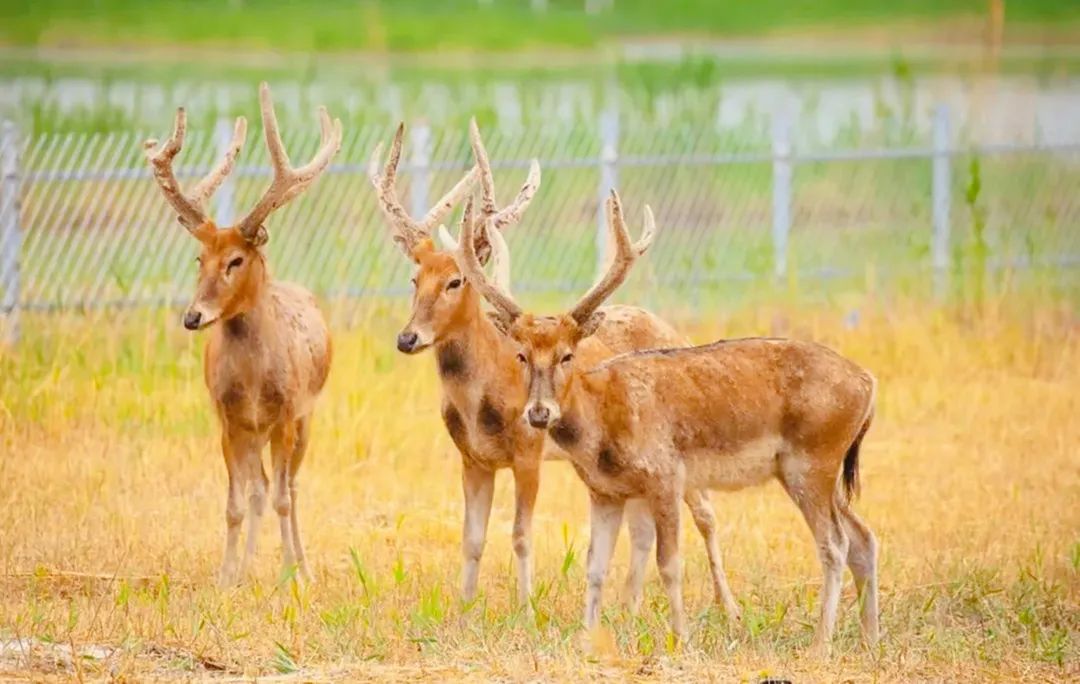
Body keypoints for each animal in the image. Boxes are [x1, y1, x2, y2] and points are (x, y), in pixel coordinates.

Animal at [141, 81, 339, 583]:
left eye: (236, 260)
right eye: (200, 258)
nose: (193, 316)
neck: (252, 381)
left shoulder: (286, 414)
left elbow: (284, 497)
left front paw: (290, 575)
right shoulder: (227, 419)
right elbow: (237, 502)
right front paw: (228, 575)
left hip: (306, 417)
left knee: (292, 487)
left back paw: (304, 567)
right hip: (255, 432)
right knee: (260, 489)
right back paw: (250, 564)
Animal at [369, 118, 743, 618]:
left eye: (456, 281)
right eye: (414, 279)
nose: (407, 338)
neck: (481, 396)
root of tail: (670, 328)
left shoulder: (529, 453)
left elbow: (521, 536)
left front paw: (527, 612)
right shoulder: (472, 459)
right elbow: (471, 539)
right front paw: (464, 611)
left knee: (705, 513)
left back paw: (729, 607)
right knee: (643, 527)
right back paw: (629, 607)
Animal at [455, 189, 876, 648]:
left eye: (568, 355)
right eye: (521, 355)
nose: (538, 412)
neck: (603, 421)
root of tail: (867, 386)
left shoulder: (666, 474)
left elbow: (669, 564)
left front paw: (682, 640)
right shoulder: (604, 492)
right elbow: (595, 566)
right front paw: (587, 641)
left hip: (812, 459)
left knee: (834, 544)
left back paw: (821, 643)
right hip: (820, 469)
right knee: (863, 537)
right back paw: (870, 637)